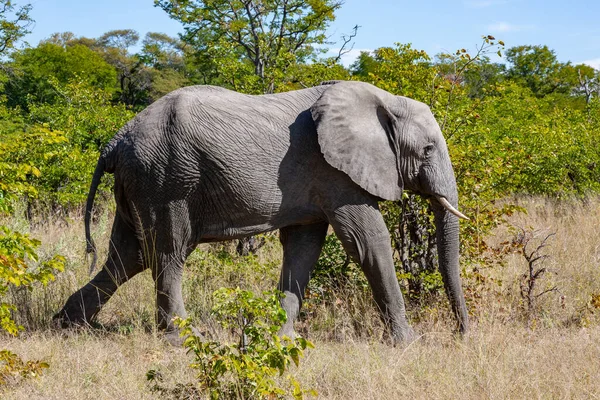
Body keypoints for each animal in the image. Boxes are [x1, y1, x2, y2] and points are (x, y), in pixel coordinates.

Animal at [55, 79, 468, 342]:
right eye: (428, 150)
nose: (461, 334)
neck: (384, 100)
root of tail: (115, 141)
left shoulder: (315, 185)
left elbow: (303, 250)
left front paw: (278, 338)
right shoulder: (336, 173)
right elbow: (369, 242)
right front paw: (408, 343)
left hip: (140, 182)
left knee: (128, 256)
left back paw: (69, 324)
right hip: (165, 179)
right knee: (167, 253)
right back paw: (181, 338)